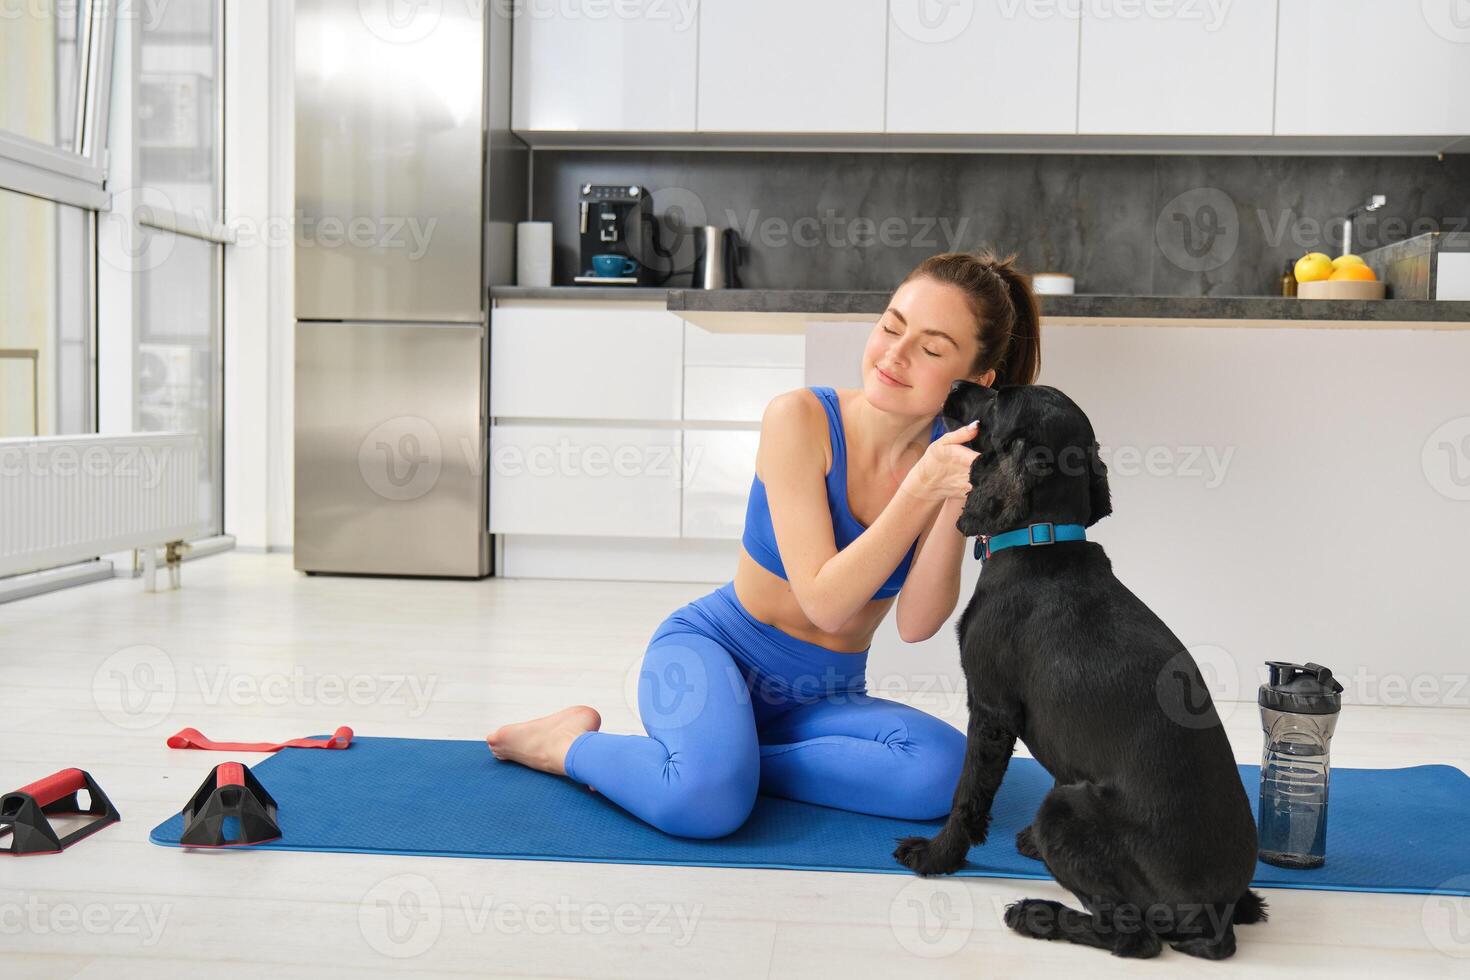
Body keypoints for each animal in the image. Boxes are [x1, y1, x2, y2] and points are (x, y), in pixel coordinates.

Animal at [887, 382, 1270, 957]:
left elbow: (967, 795)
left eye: (998, 400)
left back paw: (1037, 913)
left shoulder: (991, 709)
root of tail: (1217, 916)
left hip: (1063, 808)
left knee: (1134, 937)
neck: (1041, 539)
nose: (954, 387)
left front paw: (936, 857)